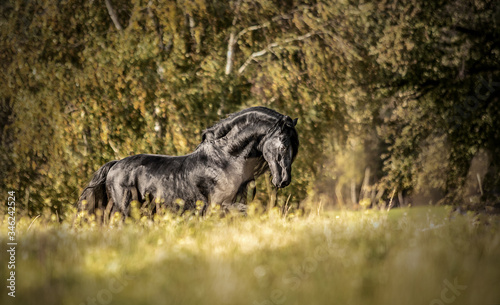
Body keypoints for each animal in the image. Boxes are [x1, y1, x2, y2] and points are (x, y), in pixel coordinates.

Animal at [77, 107, 296, 216]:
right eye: (284, 144)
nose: (283, 180)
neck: (225, 160)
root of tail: (115, 165)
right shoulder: (218, 205)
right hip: (126, 209)